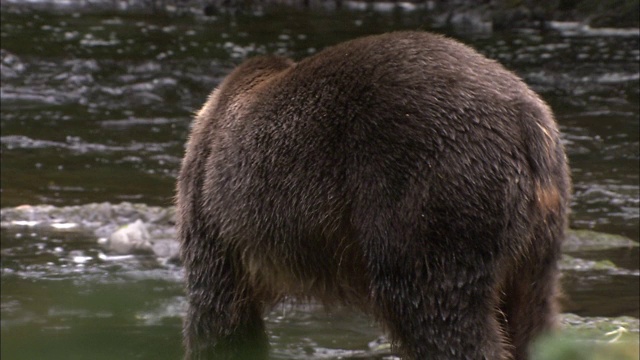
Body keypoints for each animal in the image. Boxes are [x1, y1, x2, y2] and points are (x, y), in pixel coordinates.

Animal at [175, 31, 568, 360]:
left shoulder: (215, 216)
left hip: (430, 188)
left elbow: (220, 314)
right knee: (532, 314)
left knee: (436, 310)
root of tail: (527, 123)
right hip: (537, 237)